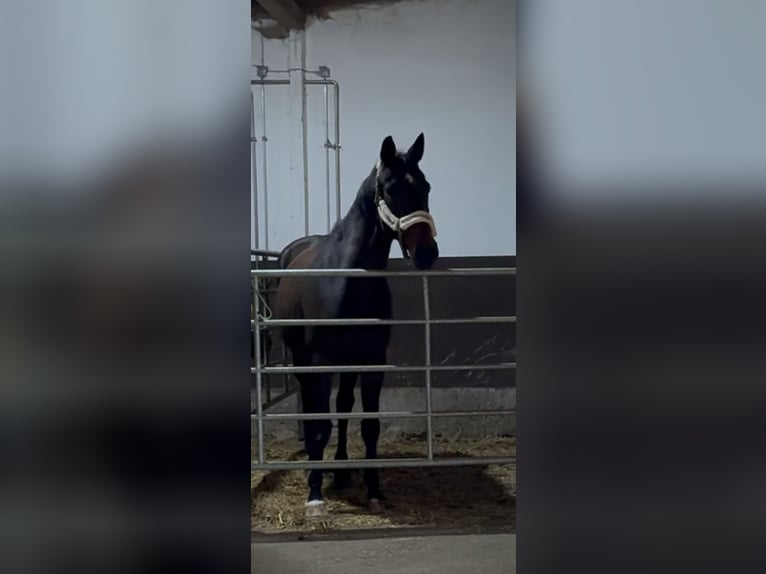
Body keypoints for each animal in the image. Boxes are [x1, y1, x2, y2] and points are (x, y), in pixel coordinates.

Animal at [272, 133, 439, 518]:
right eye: (390, 189)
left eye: (425, 187)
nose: (426, 253)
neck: (349, 281)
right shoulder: (319, 363)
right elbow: (320, 425)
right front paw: (314, 496)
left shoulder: (373, 360)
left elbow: (370, 425)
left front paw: (374, 490)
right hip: (304, 362)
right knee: (315, 410)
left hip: (349, 363)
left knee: (345, 405)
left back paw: (341, 472)